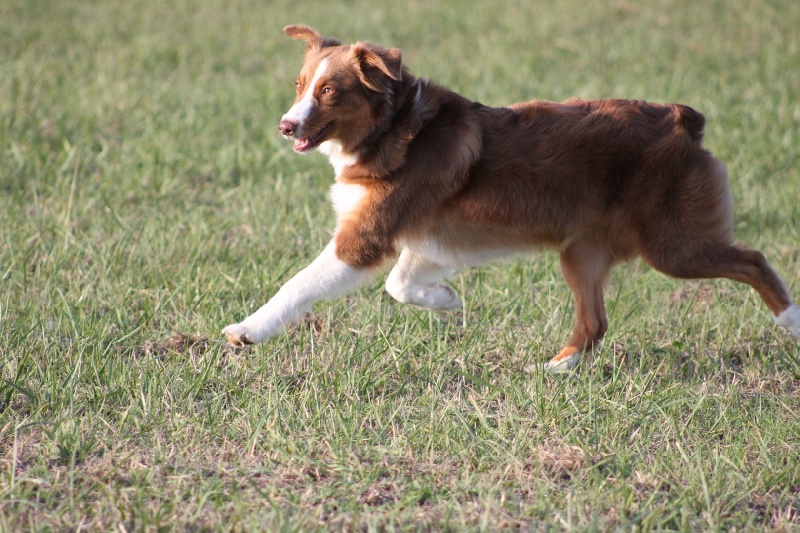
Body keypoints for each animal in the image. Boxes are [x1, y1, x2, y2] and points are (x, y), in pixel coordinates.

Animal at [223, 25, 799, 371]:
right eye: (300, 85)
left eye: (329, 91)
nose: (285, 125)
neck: (388, 128)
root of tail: (683, 120)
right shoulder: (425, 238)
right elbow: (399, 284)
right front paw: (446, 301)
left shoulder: (364, 239)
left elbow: (299, 285)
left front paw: (247, 330)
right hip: (582, 251)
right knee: (595, 322)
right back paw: (555, 368)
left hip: (673, 245)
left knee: (753, 259)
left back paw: (791, 323)